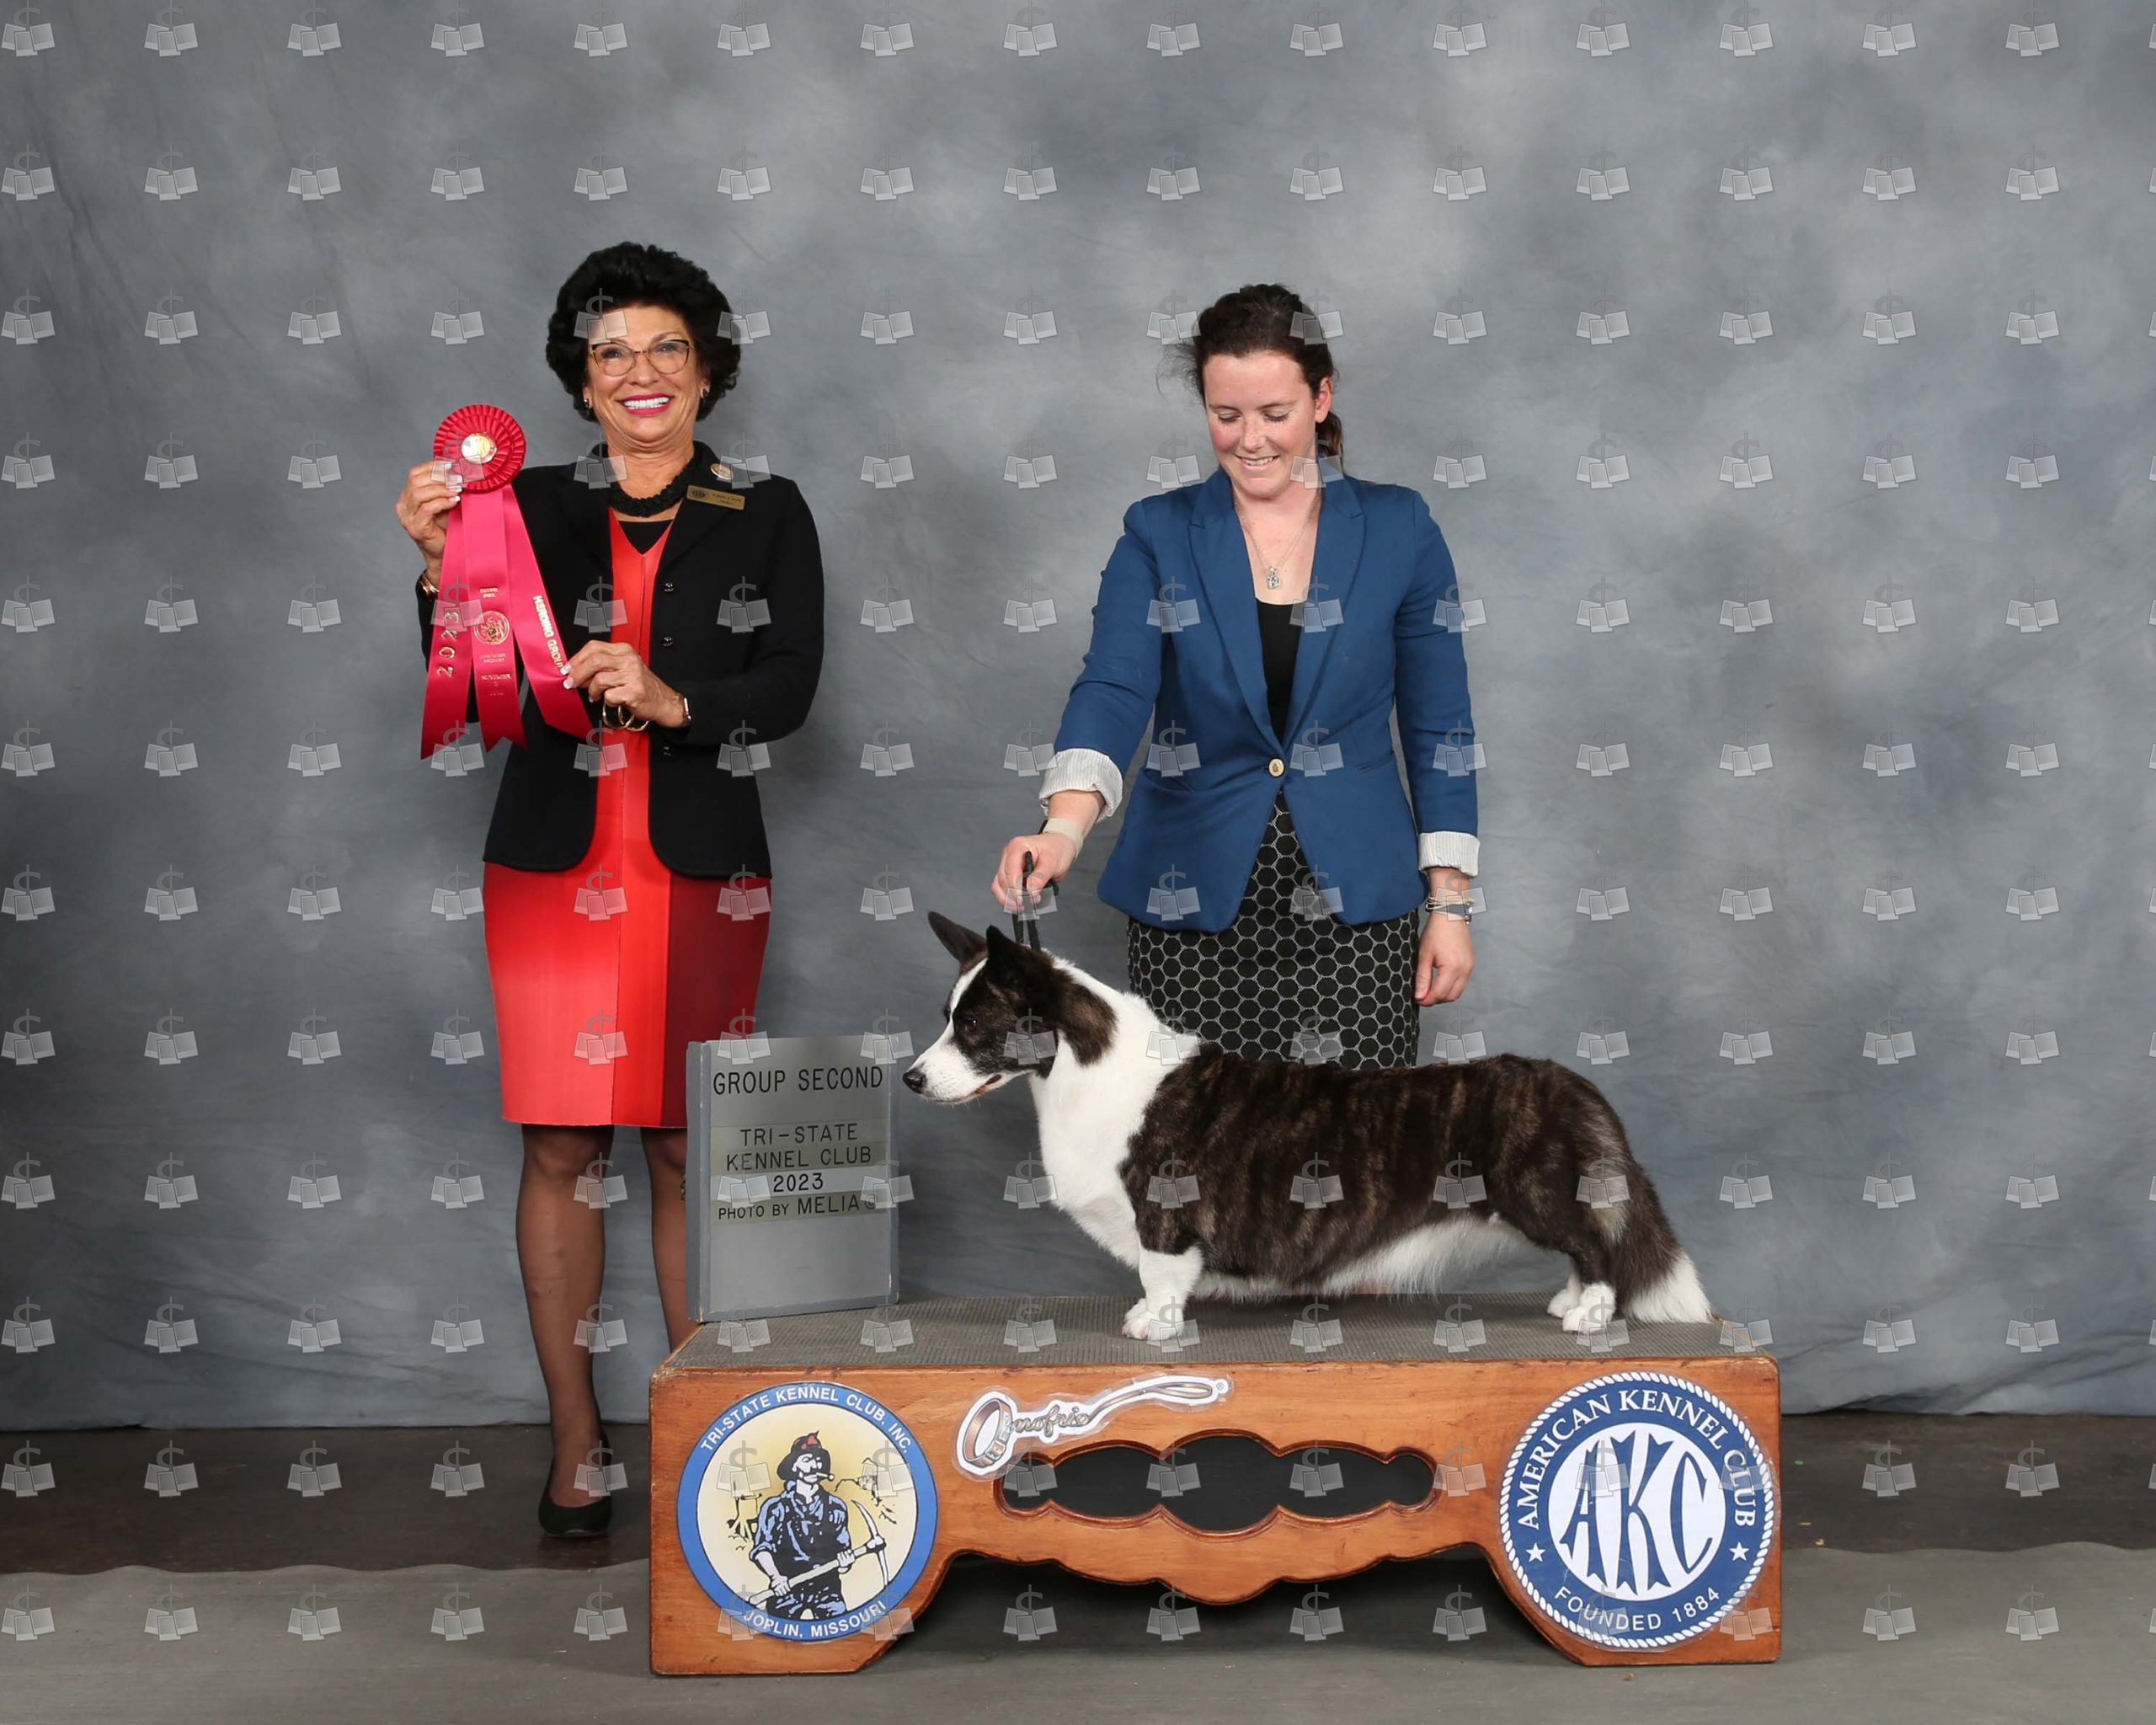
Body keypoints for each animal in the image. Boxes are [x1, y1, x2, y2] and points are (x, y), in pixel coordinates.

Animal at [901, 912, 1715, 1342]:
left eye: (971, 1027)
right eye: (946, 1016)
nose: (910, 1079)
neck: (1078, 1066)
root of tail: (1577, 1087)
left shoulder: (1162, 1213)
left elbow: (1160, 1272)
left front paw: (1153, 1324)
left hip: (1538, 1191)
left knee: (1595, 1246)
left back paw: (1590, 1315)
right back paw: (1569, 1303)